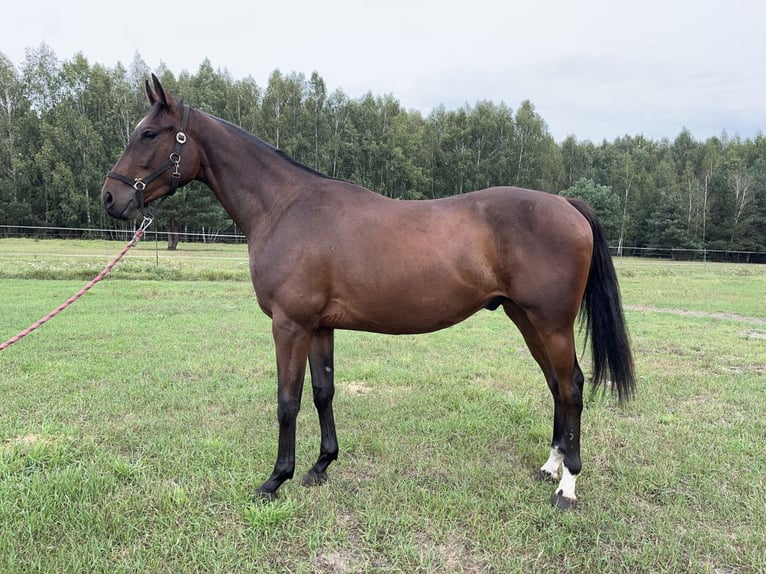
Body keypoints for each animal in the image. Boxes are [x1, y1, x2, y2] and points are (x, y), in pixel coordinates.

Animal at [101, 75, 635, 510]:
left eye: (149, 134)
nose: (110, 197)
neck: (285, 207)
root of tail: (565, 203)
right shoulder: (319, 326)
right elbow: (323, 392)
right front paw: (320, 466)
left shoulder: (290, 324)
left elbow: (287, 401)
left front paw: (274, 480)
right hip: (525, 318)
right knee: (558, 385)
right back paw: (551, 466)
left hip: (551, 322)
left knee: (571, 387)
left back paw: (567, 487)